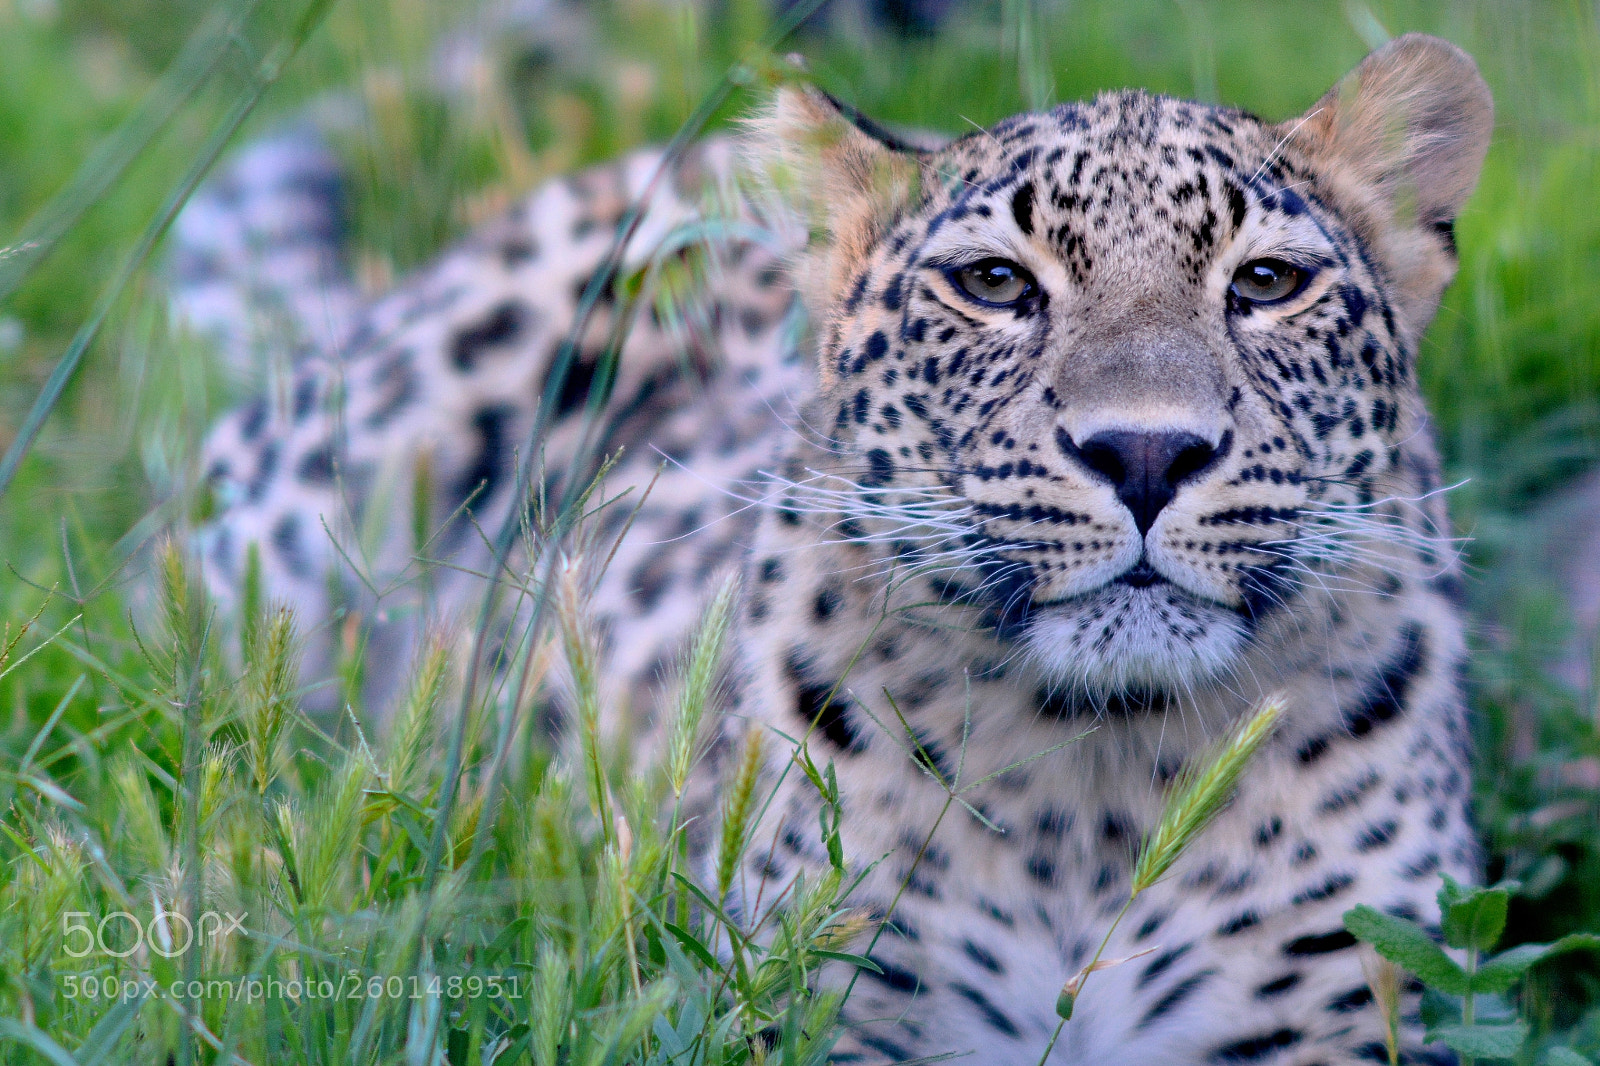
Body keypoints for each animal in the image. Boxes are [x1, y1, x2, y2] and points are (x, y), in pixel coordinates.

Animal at [189, 32, 1493, 1065]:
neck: (1105, 778)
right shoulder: (811, 989)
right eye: (994, 283)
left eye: (1266, 282)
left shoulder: (1346, 997)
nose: (1143, 451)